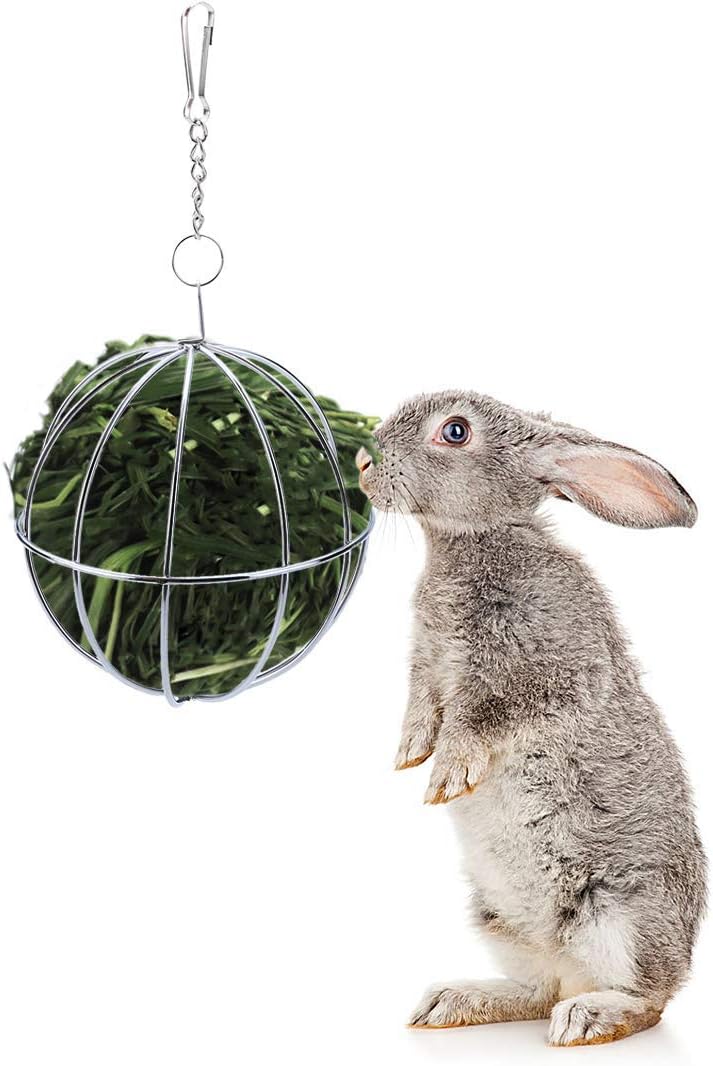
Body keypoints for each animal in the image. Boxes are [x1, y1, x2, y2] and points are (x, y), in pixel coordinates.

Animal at [355, 391, 706, 1047]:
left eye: (456, 431)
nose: (365, 461)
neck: (474, 541)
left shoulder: (538, 670)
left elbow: (481, 717)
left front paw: (447, 775)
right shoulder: (428, 665)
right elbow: (422, 705)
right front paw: (409, 753)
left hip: (621, 912)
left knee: (647, 1000)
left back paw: (589, 1017)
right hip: (498, 919)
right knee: (538, 990)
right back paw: (454, 1002)